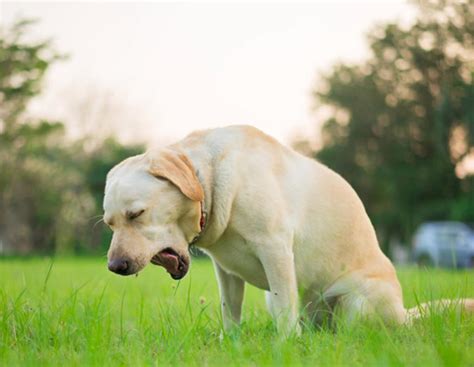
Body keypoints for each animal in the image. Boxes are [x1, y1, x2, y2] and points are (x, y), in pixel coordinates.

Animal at [104, 126, 474, 336]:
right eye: (110, 223)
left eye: (136, 214)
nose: (116, 267)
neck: (208, 178)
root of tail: (404, 315)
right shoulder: (226, 271)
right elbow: (230, 310)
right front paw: (231, 344)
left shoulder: (275, 249)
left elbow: (285, 311)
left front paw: (284, 347)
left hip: (356, 303)